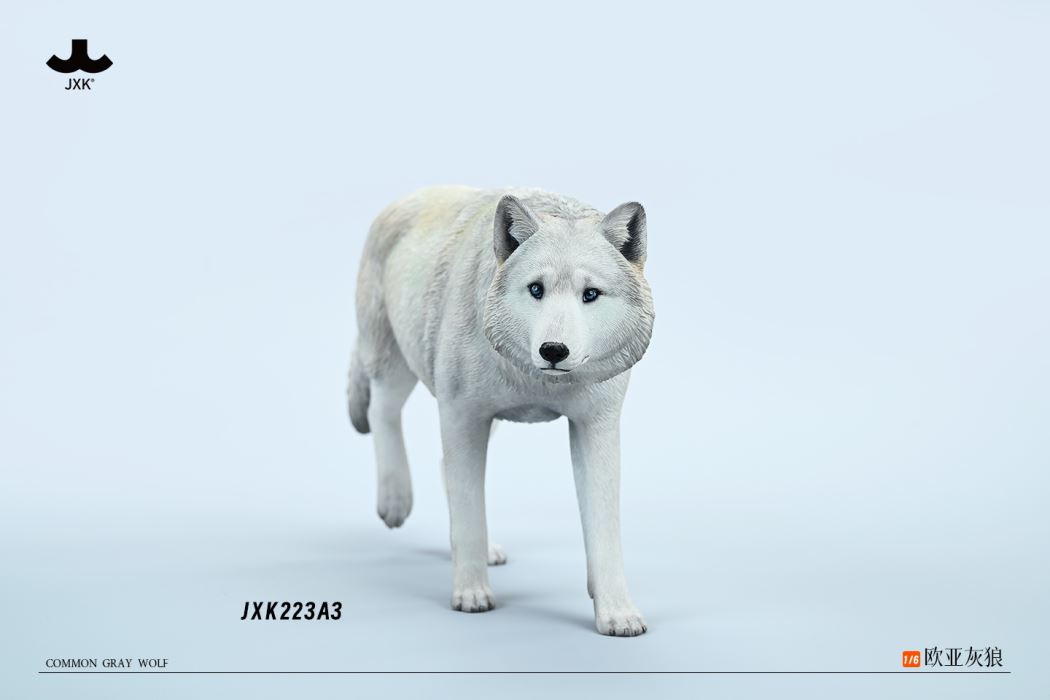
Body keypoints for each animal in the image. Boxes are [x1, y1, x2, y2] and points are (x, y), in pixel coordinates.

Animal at [347, 186, 654, 636]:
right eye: (536, 289)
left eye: (590, 294)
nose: (553, 350)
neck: (537, 382)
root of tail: (410, 195)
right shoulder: (462, 416)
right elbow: (471, 514)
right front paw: (472, 594)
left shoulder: (594, 427)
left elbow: (603, 530)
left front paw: (616, 612)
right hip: (395, 362)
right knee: (382, 411)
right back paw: (395, 501)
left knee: (443, 467)